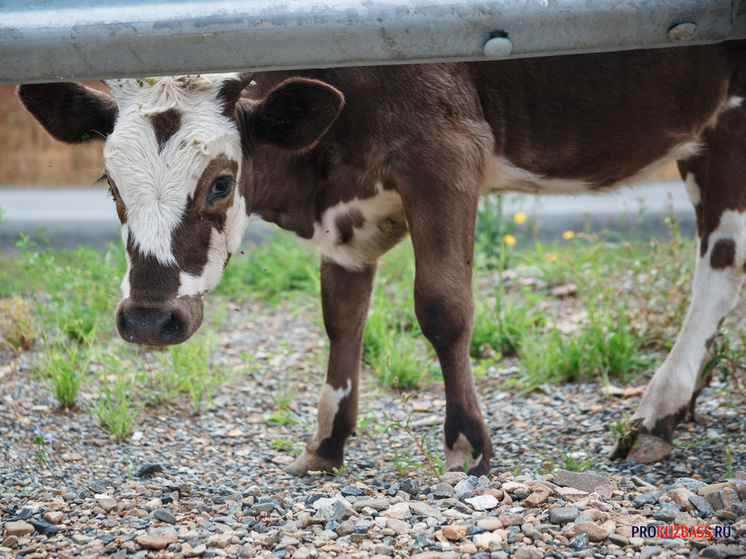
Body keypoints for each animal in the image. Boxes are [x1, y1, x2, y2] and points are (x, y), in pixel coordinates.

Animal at [20, 40, 744, 476]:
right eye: (110, 184)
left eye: (222, 183)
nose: (148, 320)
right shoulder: (348, 217)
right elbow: (342, 318)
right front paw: (326, 443)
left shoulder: (446, 151)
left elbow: (443, 306)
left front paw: (466, 443)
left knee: (722, 258)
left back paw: (657, 409)